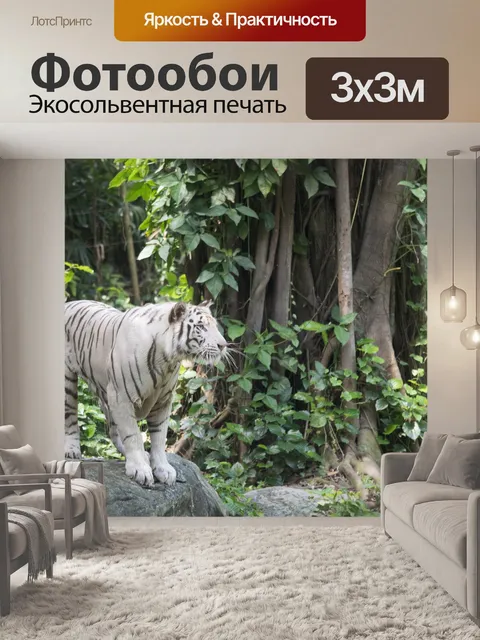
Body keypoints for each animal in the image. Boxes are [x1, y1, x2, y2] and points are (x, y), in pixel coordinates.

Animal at [65, 299, 227, 487]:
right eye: (200, 326)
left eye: (214, 326)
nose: (223, 345)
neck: (167, 360)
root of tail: (69, 303)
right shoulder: (121, 397)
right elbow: (133, 435)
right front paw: (140, 469)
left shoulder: (163, 401)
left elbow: (159, 436)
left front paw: (163, 469)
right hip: (69, 383)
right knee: (70, 416)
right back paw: (71, 450)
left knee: (112, 430)